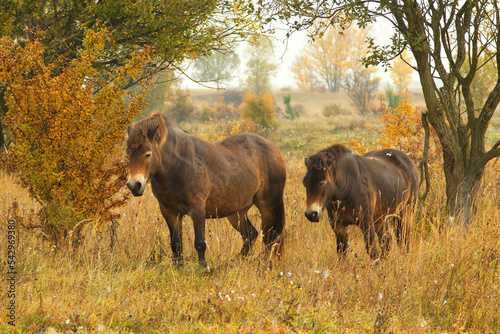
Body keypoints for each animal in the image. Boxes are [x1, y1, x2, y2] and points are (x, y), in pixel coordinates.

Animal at [127, 113, 288, 264]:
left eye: (148, 154)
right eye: (127, 154)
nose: (134, 185)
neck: (176, 165)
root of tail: (274, 148)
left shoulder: (197, 209)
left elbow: (200, 243)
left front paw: (203, 269)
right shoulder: (170, 212)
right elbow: (176, 245)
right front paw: (179, 269)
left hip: (267, 207)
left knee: (269, 238)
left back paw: (264, 265)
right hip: (236, 212)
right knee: (251, 235)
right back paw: (237, 262)